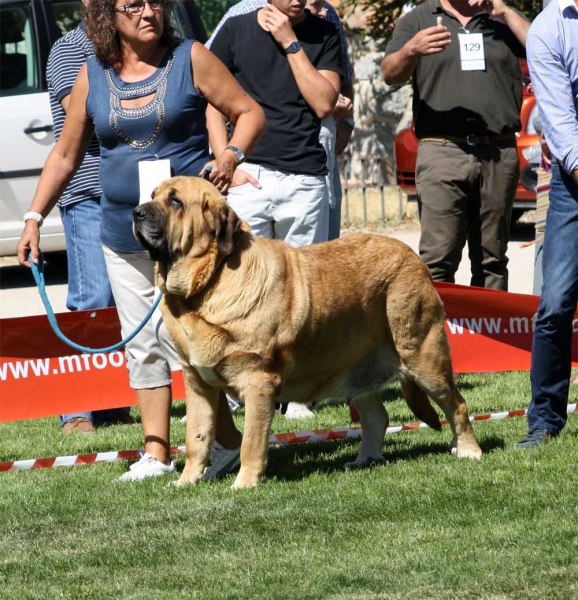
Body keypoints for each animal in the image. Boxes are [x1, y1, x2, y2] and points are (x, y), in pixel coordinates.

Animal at [133, 176, 480, 490]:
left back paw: (467, 451)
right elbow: (197, 437)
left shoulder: (258, 381)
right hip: (358, 366)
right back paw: (364, 459)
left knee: (456, 404)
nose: (136, 212)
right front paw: (186, 482)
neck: (205, 286)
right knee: (376, 416)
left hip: (424, 357)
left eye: (175, 201)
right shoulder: (198, 383)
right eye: (152, 195)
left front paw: (243, 485)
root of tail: (413, 257)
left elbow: (251, 442)